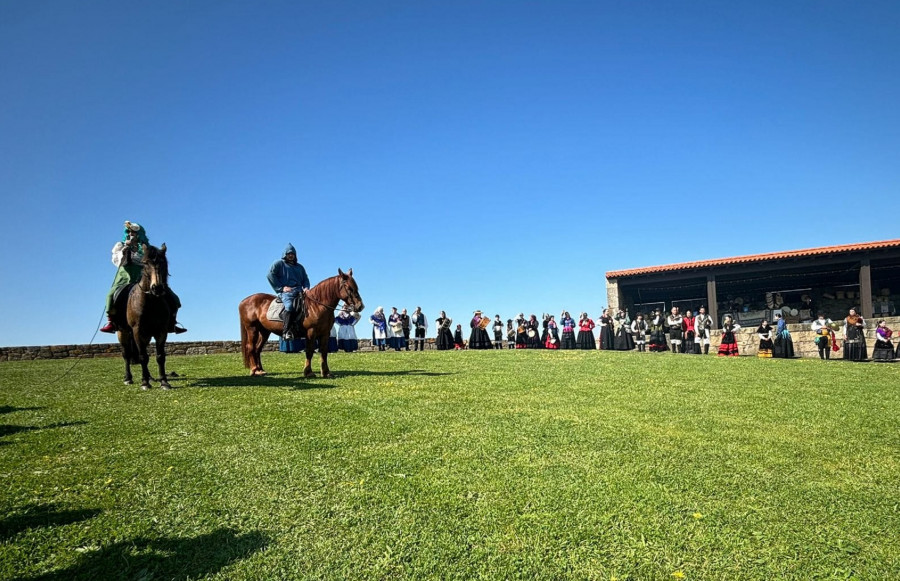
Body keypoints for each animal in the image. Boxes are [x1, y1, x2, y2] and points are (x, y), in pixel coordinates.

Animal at [116, 242, 172, 388]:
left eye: (164, 263)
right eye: (145, 263)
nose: (157, 288)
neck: (151, 301)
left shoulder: (162, 331)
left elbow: (160, 356)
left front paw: (164, 381)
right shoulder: (137, 330)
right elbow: (142, 356)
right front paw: (144, 382)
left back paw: (150, 377)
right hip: (122, 332)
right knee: (126, 354)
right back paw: (129, 378)